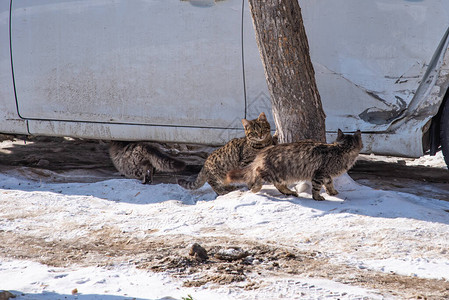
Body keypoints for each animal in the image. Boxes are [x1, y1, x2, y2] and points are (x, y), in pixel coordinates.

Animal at [226, 130, 362, 200]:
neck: (341, 149)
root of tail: (263, 152)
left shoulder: (326, 175)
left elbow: (329, 183)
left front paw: (332, 192)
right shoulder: (320, 173)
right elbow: (317, 187)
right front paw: (317, 197)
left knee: (279, 185)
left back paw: (290, 192)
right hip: (274, 172)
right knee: (259, 175)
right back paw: (256, 188)